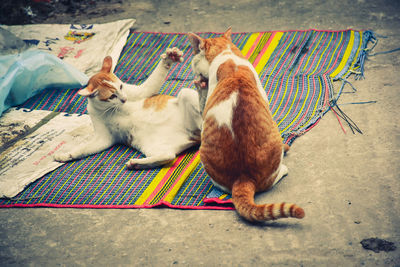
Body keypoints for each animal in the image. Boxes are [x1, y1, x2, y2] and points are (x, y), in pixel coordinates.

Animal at [54, 48, 202, 170]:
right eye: (112, 96)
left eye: (121, 86)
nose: (124, 99)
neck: (109, 110)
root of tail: (195, 136)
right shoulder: (103, 138)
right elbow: (82, 149)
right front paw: (66, 155)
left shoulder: (142, 91)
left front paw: (170, 57)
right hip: (155, 145)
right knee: (168, 156)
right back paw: (136, 163)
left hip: (185, 93)